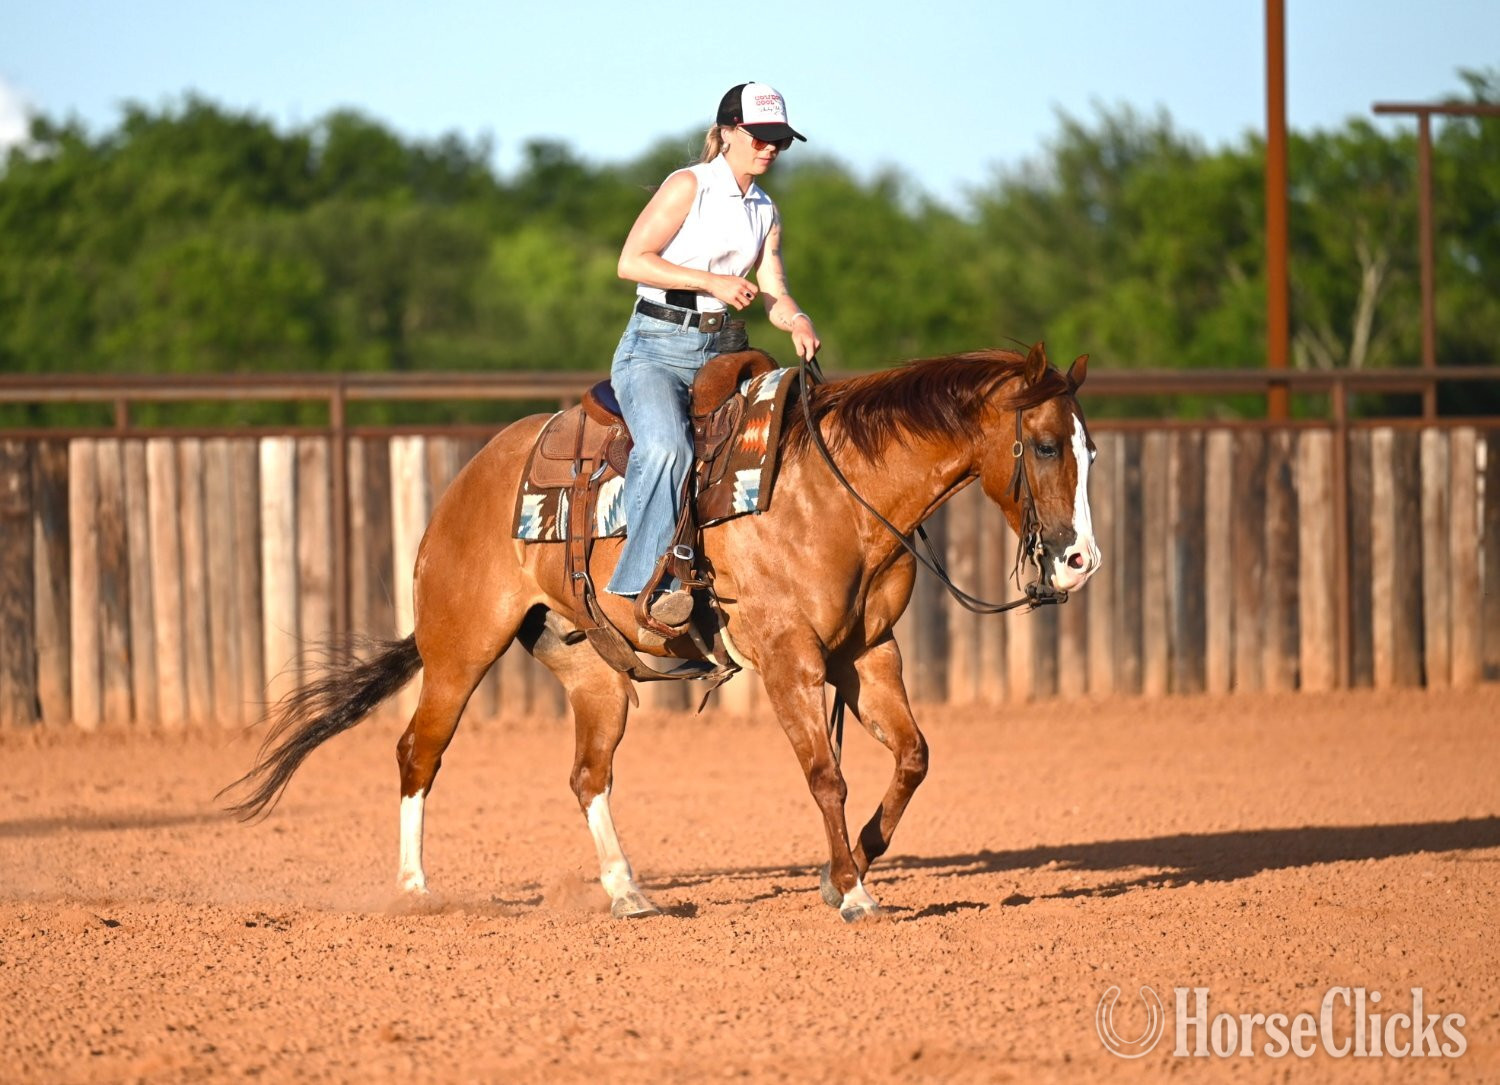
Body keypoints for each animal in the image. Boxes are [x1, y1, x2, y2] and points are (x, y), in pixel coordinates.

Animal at [224, 342, 1101, 922]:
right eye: (1045, 443)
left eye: (1090, 447)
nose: (1080, 561)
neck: (835, 493)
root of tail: (468, 482)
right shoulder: (787, 655)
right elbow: (825, 774)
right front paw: (851, 890)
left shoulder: (866, 652)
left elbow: (913, 756)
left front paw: (843, 869)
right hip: (458, 648)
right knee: (419, 752)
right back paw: (414, 889)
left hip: (593, 671)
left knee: (587, 775)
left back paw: (629, 891)